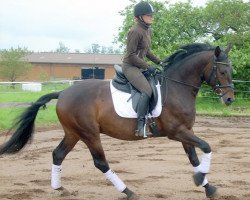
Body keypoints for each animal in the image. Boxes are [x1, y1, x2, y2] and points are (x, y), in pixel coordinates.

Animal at [0, 43, 234, 200]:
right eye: (222, 71)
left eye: (230, 71)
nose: (229, 99)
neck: (177, 87)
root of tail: (63, 93)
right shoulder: (176, 131)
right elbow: (207, 147)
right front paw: (201, 180)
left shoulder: (186, 131)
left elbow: (194, 158)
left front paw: (207, 186)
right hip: (89, 133)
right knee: (100, 162)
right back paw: (128, 191)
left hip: (73, 133)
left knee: (58, 154)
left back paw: (58, 188)